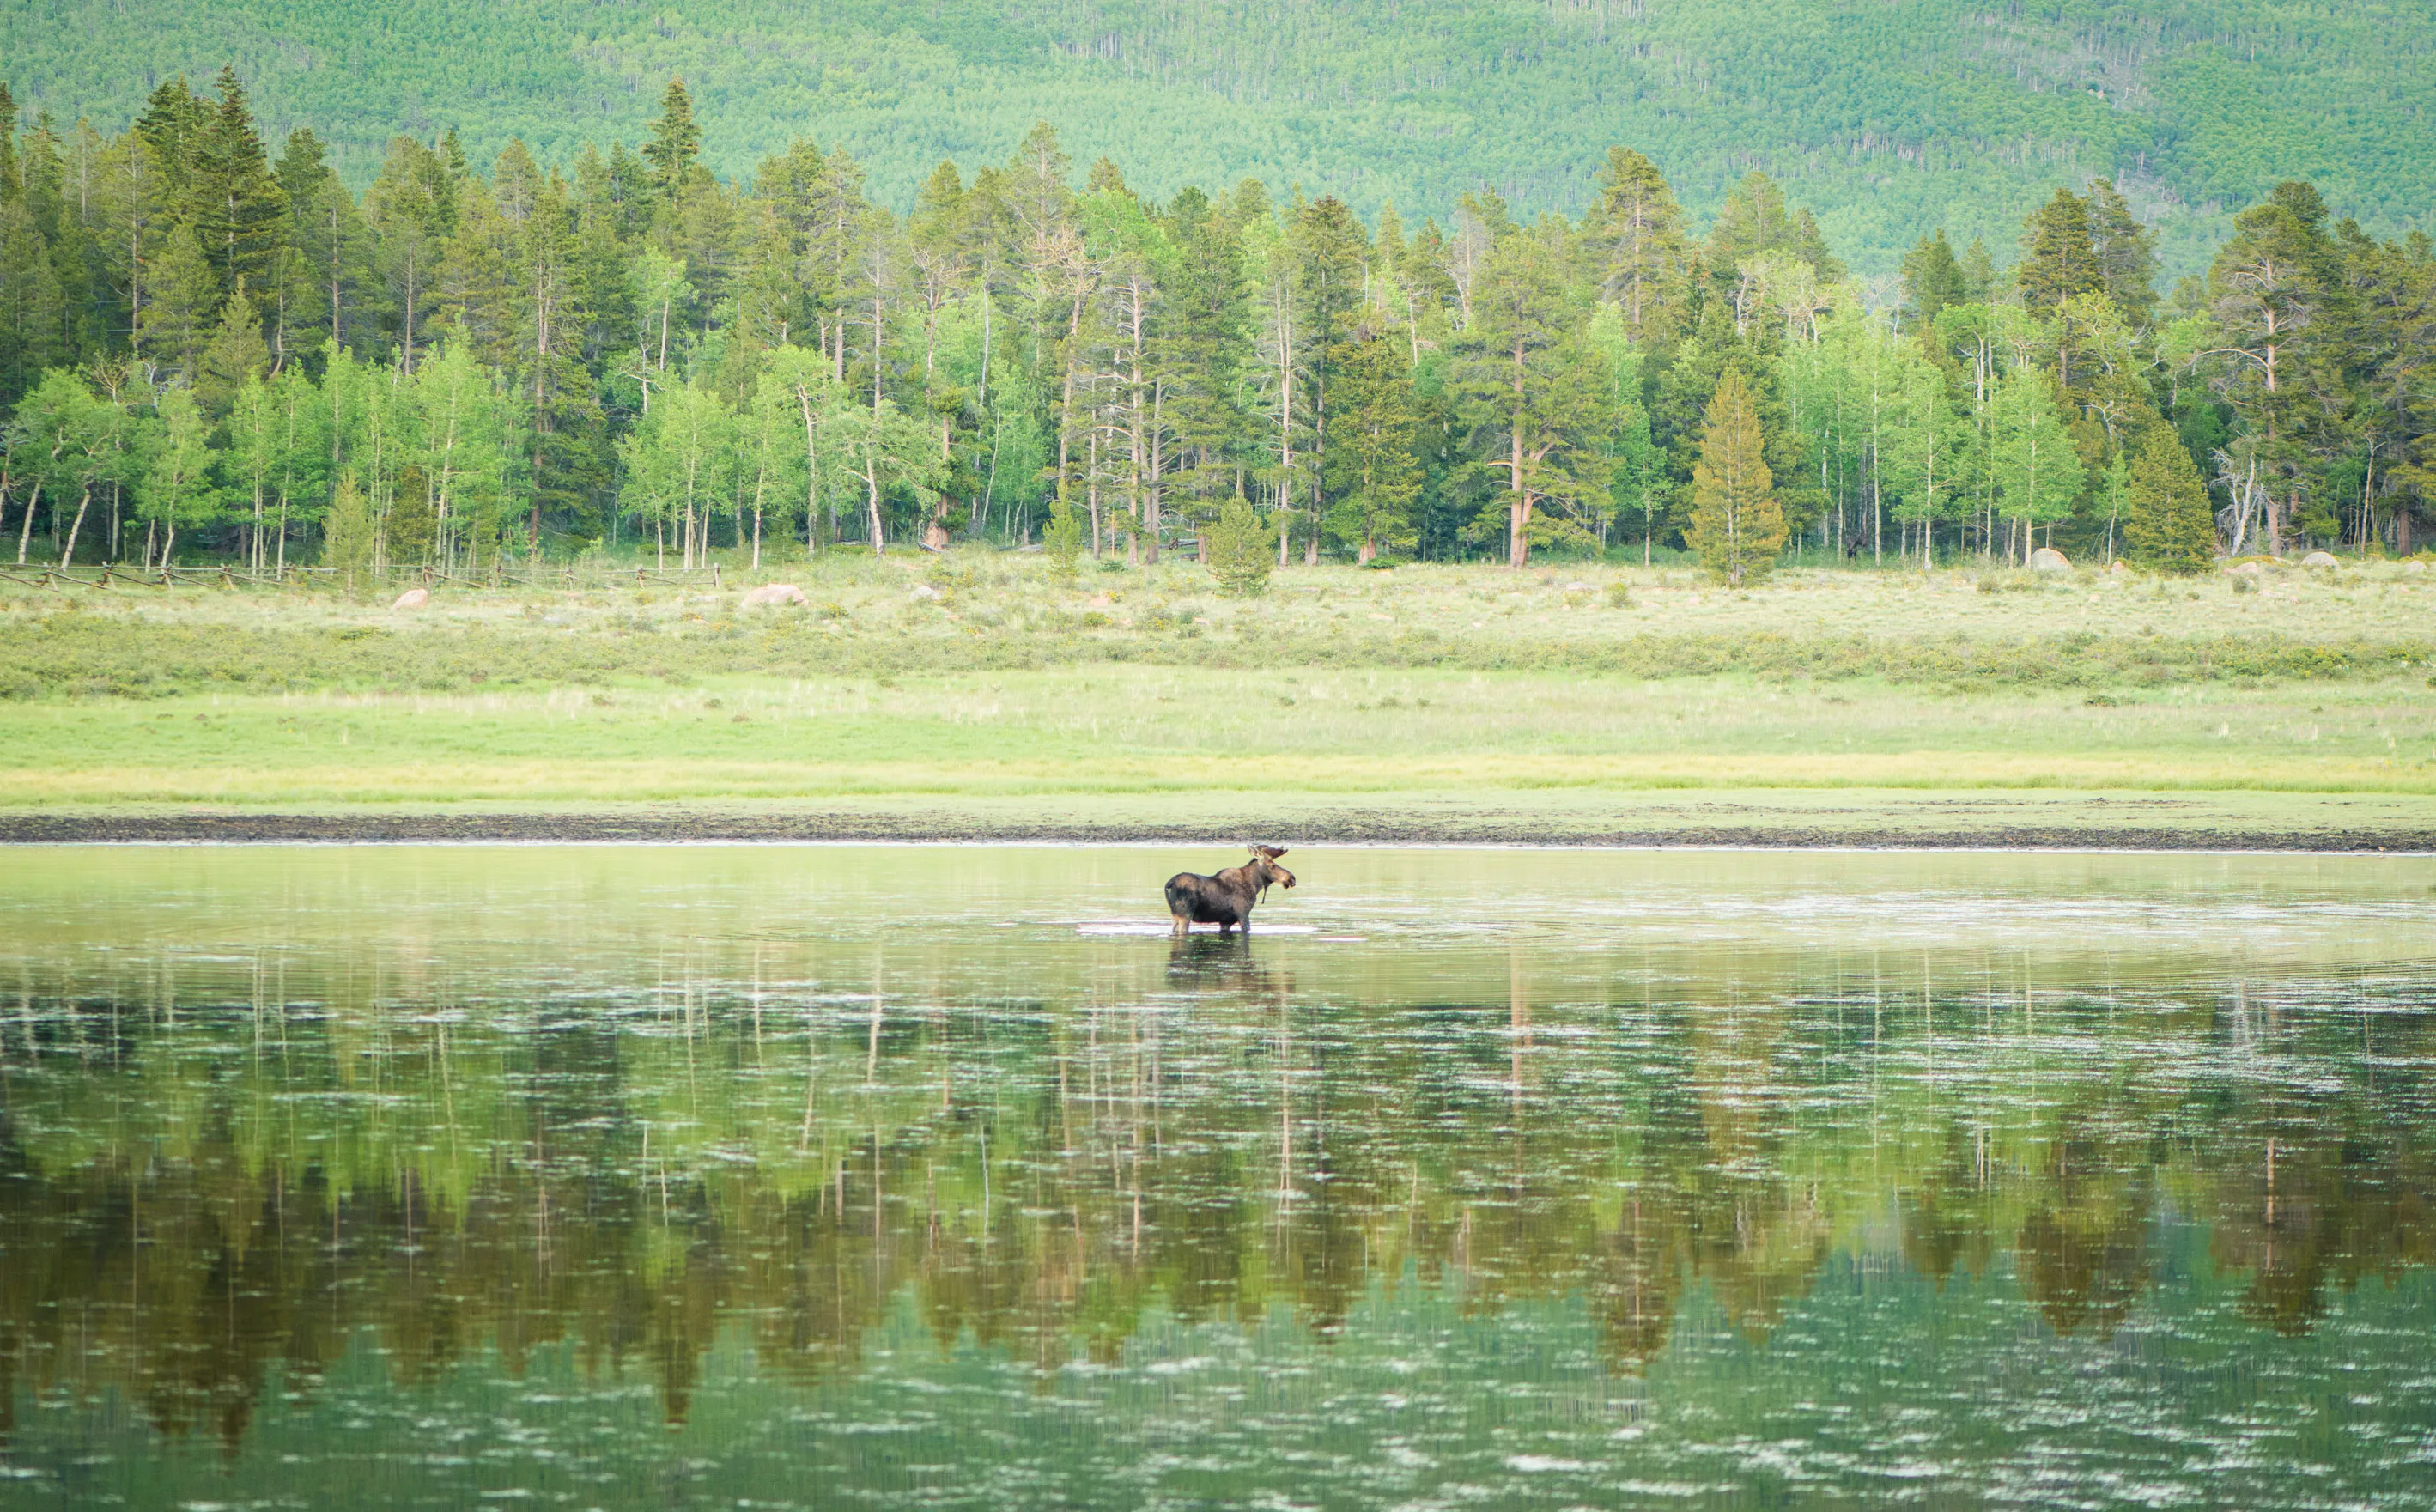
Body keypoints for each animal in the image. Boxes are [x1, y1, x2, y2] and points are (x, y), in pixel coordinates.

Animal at [1165, 845, 1295, 935]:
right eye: (1272, 865)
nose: (1291, 878)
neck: (1254, 885)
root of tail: (1169, 884)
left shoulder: (1226, 921)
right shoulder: (1243, 913)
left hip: (1175, 914)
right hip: (1185, 914)